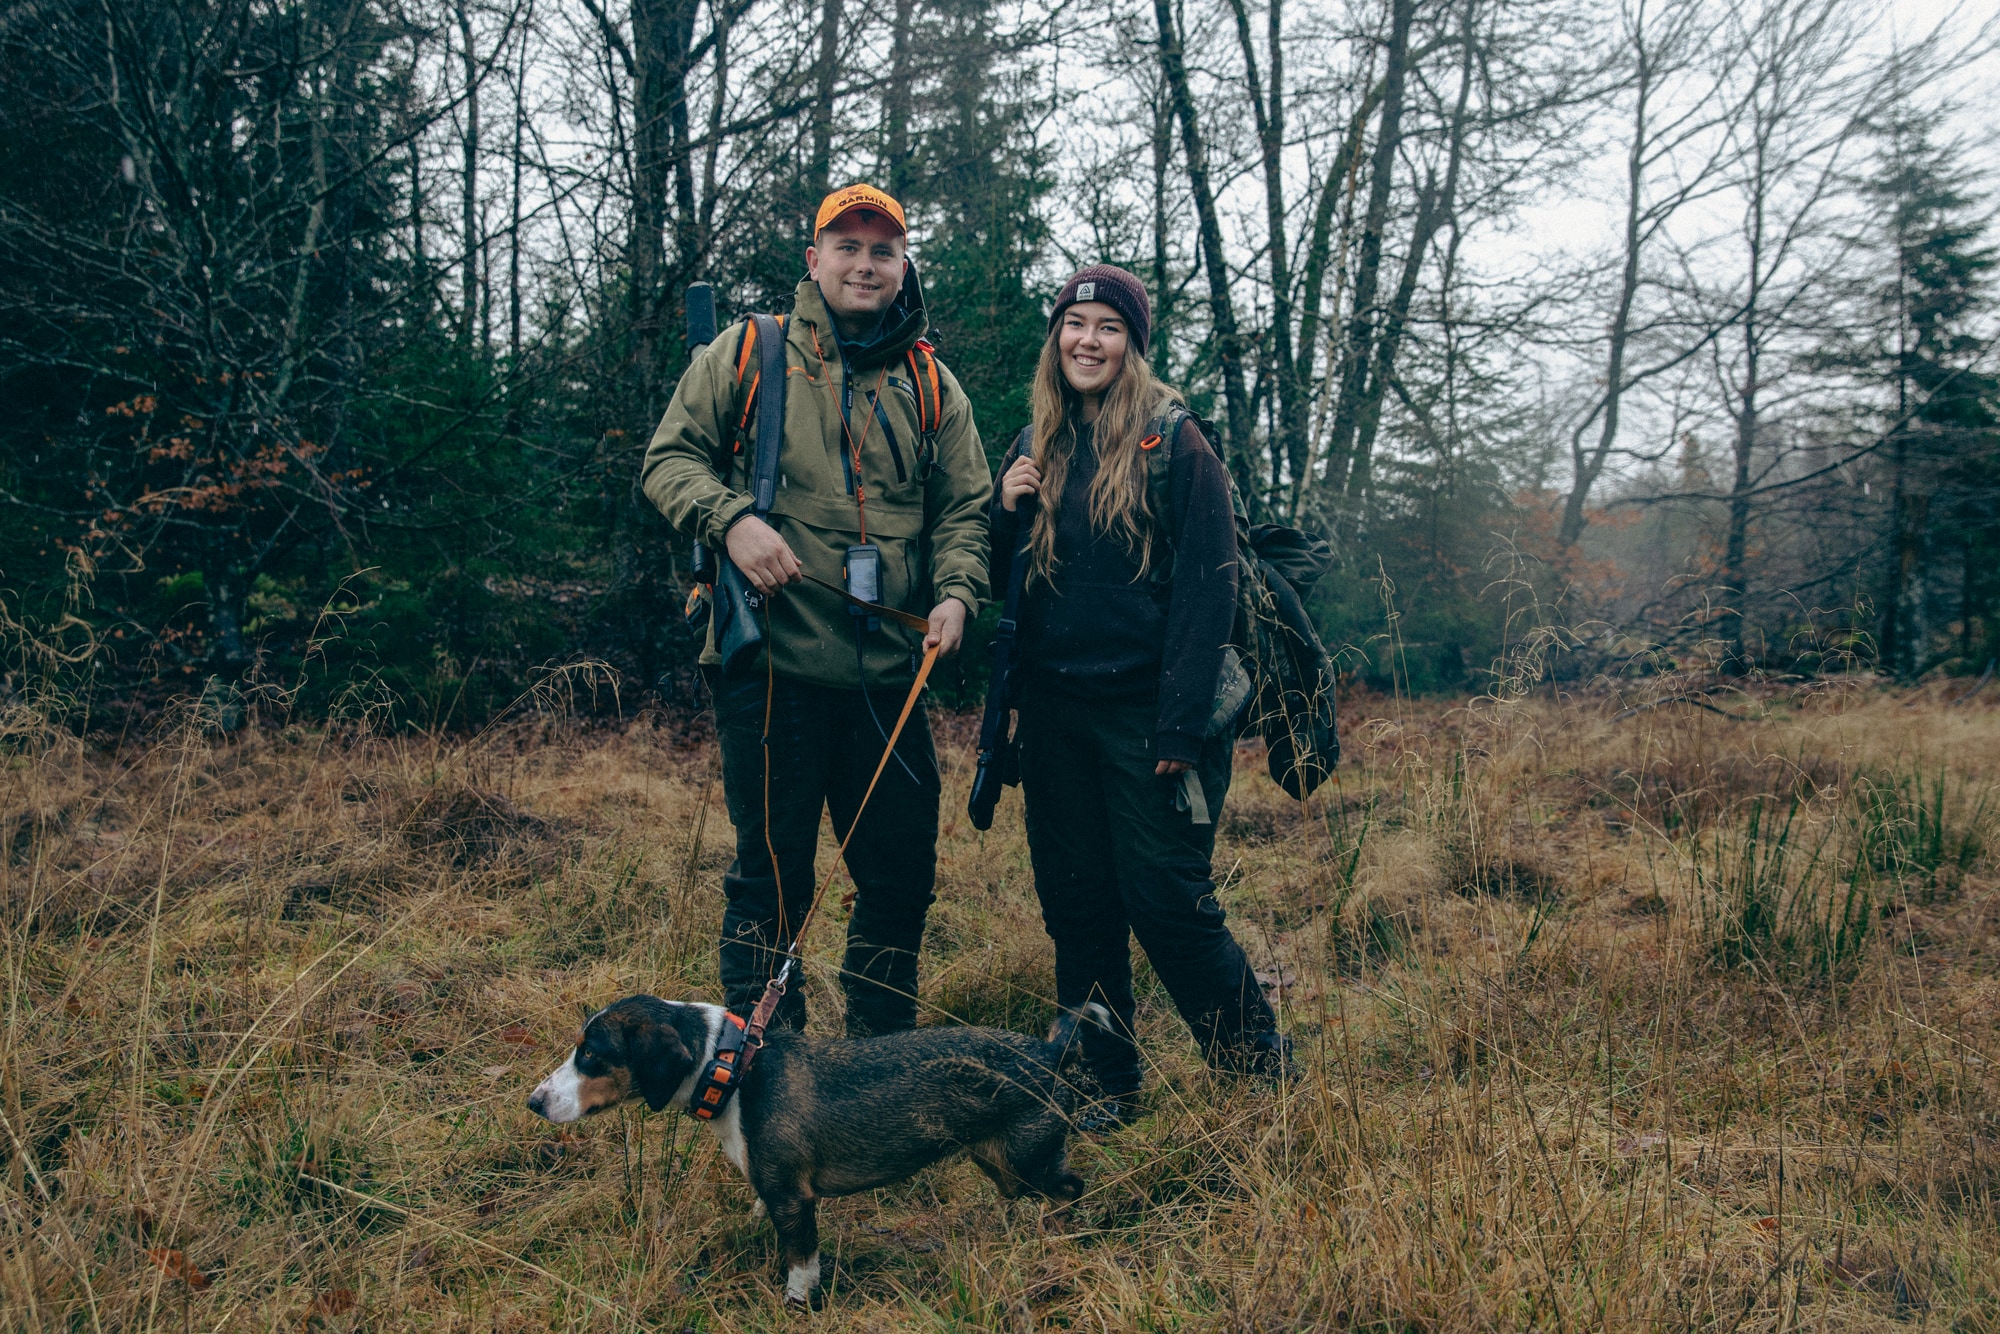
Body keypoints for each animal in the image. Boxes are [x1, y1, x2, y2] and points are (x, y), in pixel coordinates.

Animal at [528, 1000, 1112, 1304]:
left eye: (591, 1054)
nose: (534, 1101)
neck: (735, 1070)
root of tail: (1052, 1051)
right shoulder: (771, 1191)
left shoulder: (792, 1197)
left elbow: (801, 1264)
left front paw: (797, 1304)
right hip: (998, 1162)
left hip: (1027, 1160)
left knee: (1070, 1188)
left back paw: (1062, 1235)